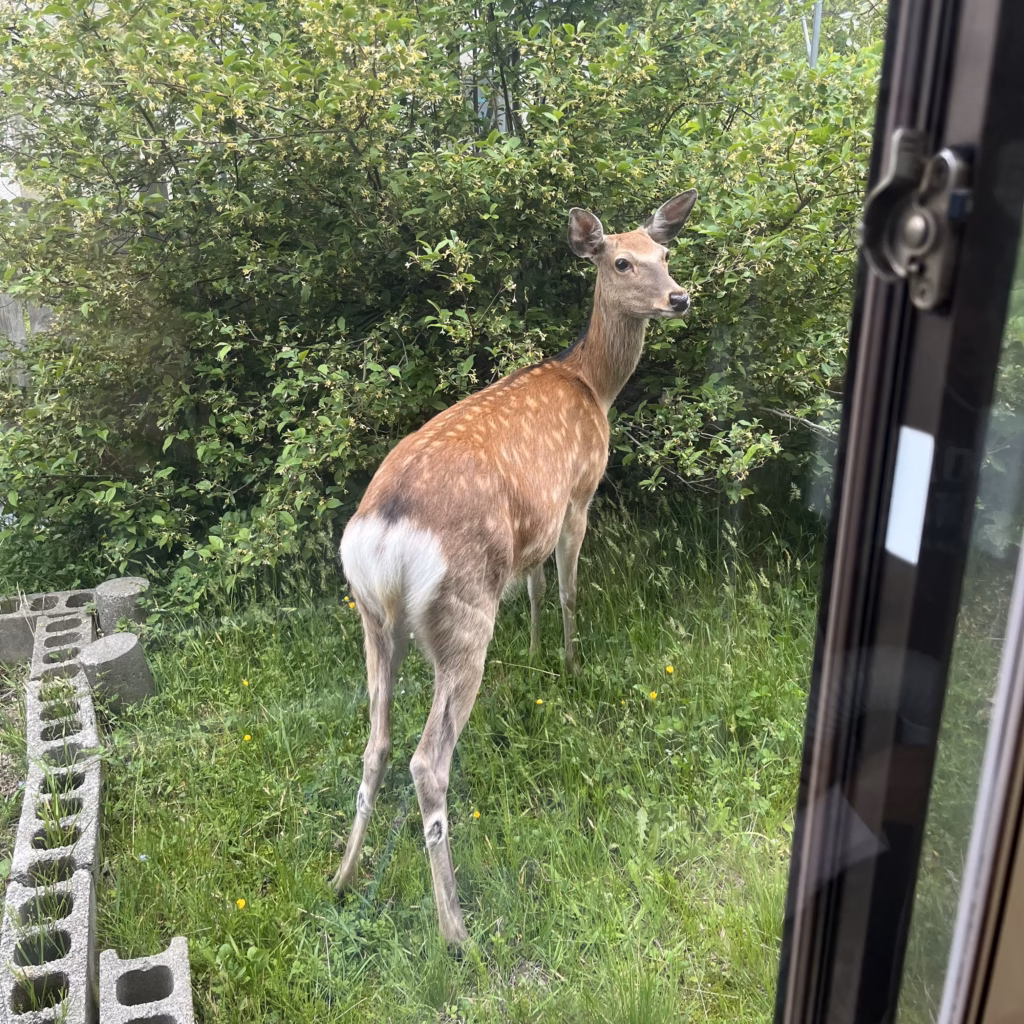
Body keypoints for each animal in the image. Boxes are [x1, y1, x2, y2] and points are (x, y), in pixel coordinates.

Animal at [330, 190, 698, 944]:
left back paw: (342, 879)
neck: (592, 384)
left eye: (665, 251)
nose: (679, 297)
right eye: (621, 261)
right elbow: (565, 590)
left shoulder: (532, 529)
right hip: (464, 611)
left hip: (372, 617)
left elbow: (531, 590)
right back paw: (456, 931)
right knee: (427, 761)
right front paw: (570, 664)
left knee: (375, 743)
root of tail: (386, 534)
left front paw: (533, 659)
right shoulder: (579, 492)